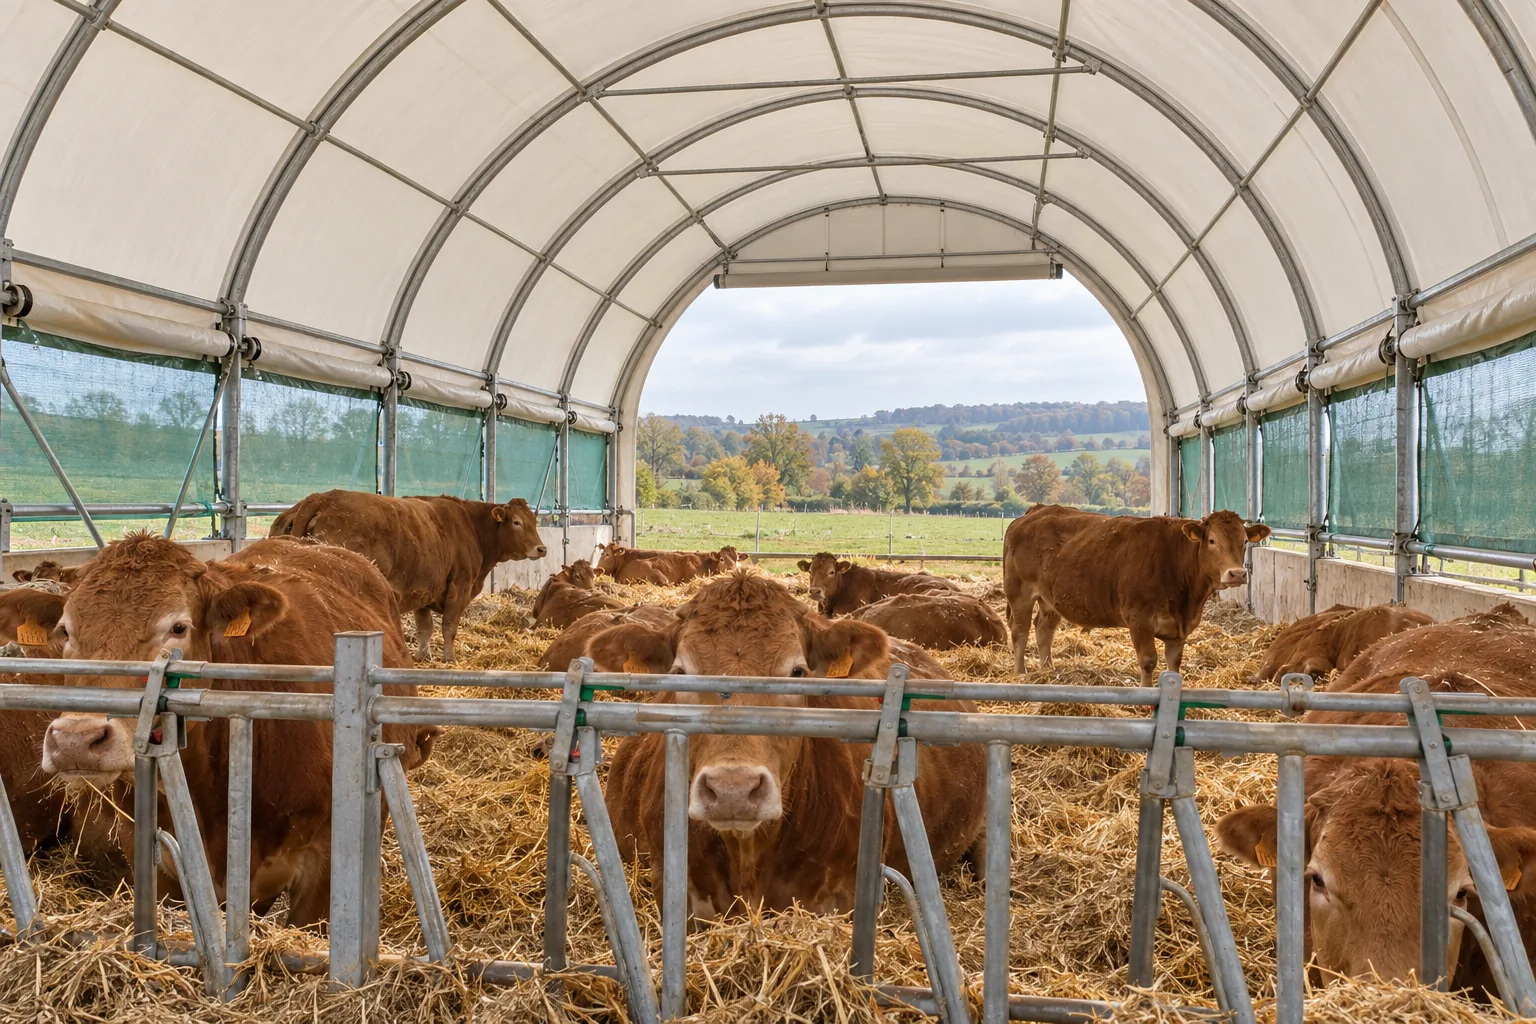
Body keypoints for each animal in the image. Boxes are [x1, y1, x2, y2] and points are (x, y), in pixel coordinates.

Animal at [270, 489, 546, 661]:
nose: (541, 549)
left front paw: (424, 656)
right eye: (517, 522)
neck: (470, 526)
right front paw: (449, 658)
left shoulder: (424, 590)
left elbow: (425, 627)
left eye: (534, 522)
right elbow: (449, 626)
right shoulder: (459, 585)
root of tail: (321, 498)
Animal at [1003, 506, 1269, 683]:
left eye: (1245, 541)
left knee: (1043, 630)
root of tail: (1036, 511)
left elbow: (1174, 664)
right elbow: (1148, 661)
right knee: (1020, 631)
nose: (1237, 573)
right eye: (1212, 540)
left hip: (1050, 598)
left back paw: (1047, 669)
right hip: (1019, 593)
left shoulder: (1179, 628)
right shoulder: (1139, 619)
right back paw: (1020, 672)